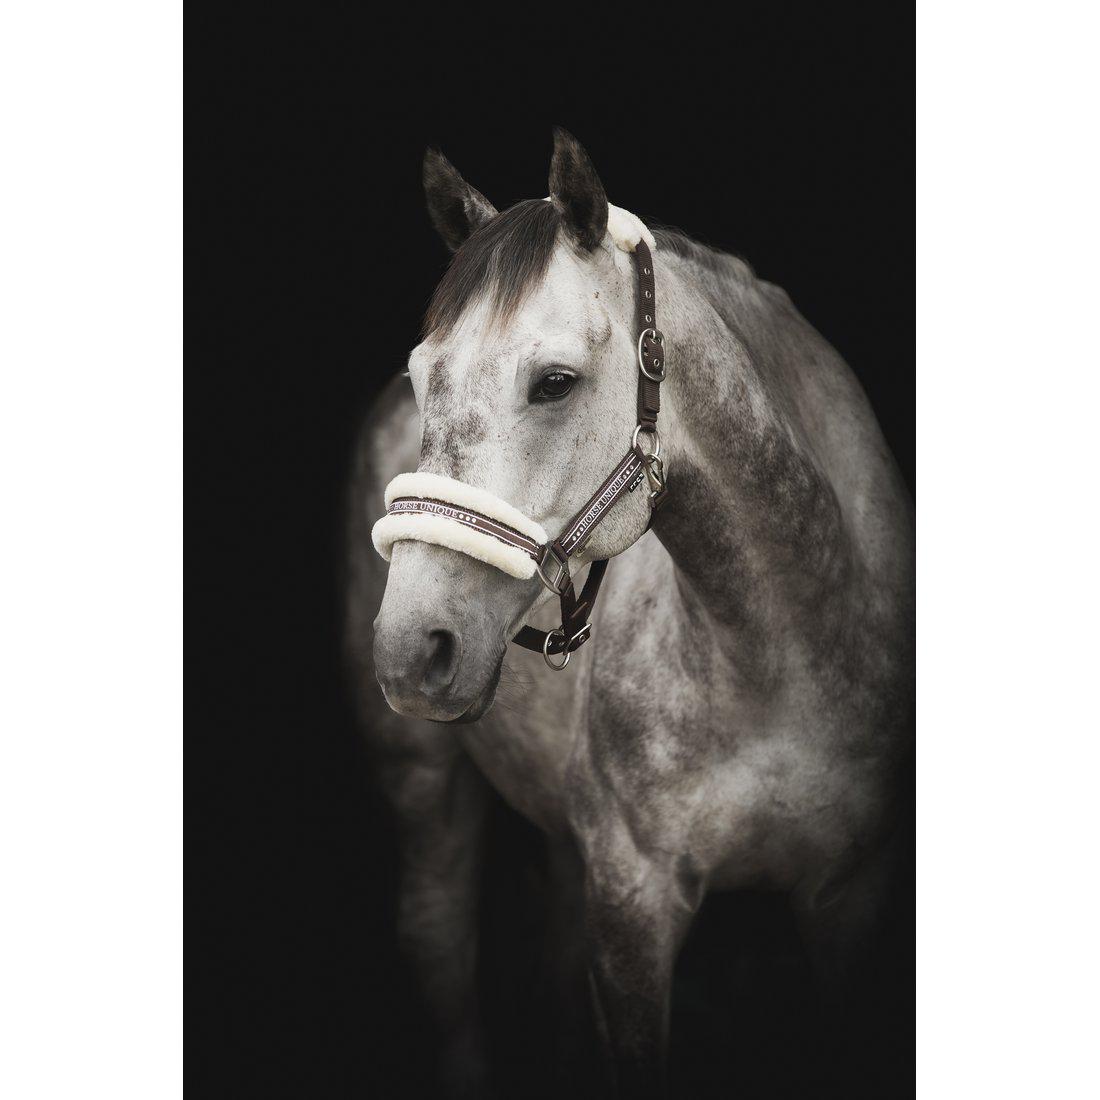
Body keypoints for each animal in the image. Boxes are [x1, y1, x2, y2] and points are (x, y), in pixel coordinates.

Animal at [344, 129, 914, 1098]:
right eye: (424, 377)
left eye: (555, 382)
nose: (413, 650)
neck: (780, 652)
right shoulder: (634, 903)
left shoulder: (853, 893)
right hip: (422, 780)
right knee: (441, 946)